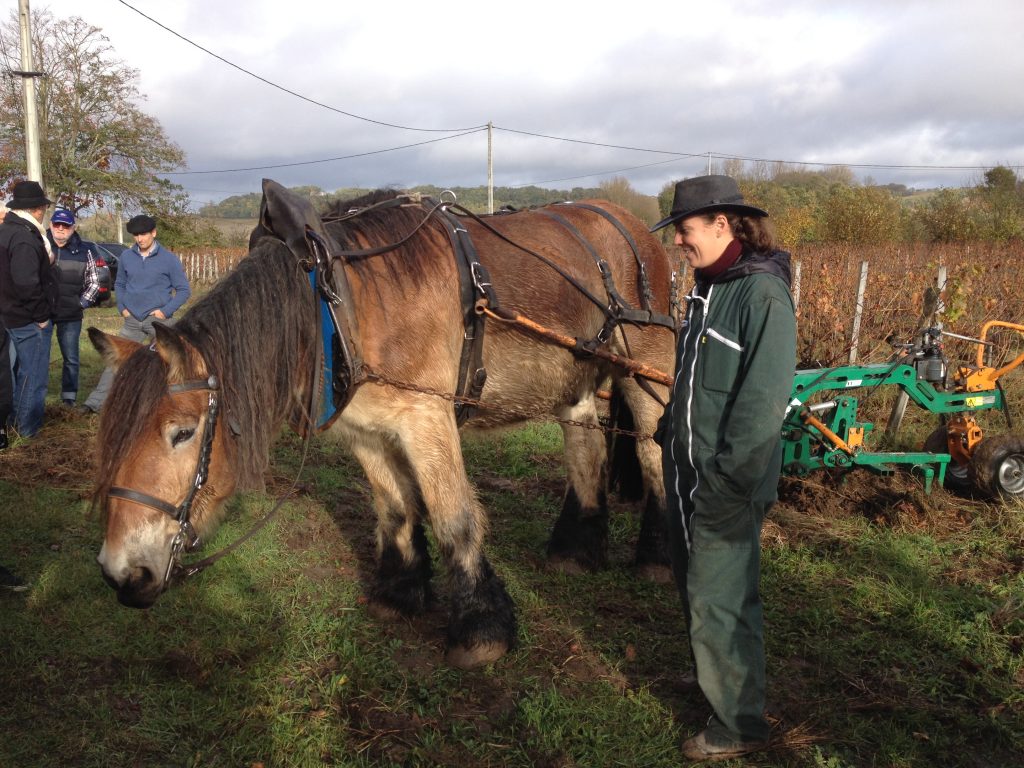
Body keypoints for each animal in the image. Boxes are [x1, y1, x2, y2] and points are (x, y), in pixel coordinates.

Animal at [92, 180, 675, 667]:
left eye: (182, 432)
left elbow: (453, 517)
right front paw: (399, 593)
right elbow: (394, 509)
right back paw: (576, 550)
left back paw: (658, 559)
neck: (338, 302)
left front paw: (480, 629)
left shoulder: (427, 418)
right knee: (586, 452)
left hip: (650, 371)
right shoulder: (368, 431)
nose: (120, 572)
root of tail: (634, 227)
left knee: (654, 454)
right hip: (575, 382)